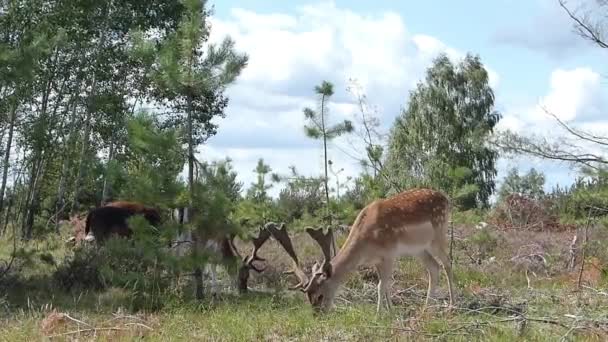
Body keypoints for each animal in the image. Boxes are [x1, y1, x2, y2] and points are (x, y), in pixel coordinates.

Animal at [268, 188, 454, 314]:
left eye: (320, 295)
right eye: (308, 296)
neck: (366, 246)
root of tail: (446, 198)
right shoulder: (377, 260)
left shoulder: (389, 254)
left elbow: (380, 286)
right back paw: (426, 308)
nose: (317, 315)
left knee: (447, 263)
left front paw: (379, 315)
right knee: (434, 267)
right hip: (419, 249)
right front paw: (390, 312)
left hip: (438, 235)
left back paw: (452, 305)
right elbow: (385, 285)